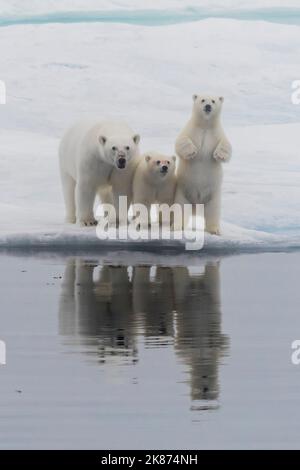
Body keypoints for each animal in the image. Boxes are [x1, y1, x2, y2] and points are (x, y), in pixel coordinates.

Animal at [173, 94, 232, 234]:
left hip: (213, 195)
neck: (205, 126)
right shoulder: (191, 130)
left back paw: (214, 230)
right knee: (181, 208)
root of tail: (196, 204)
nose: (208, 106)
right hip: (183, 192)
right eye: (203, 100)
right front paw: (192, 151)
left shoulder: (217, 134)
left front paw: (219, 155)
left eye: (213, 101)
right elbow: (181, 141)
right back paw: (177, 226)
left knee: (213, 211)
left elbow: (226, 145)